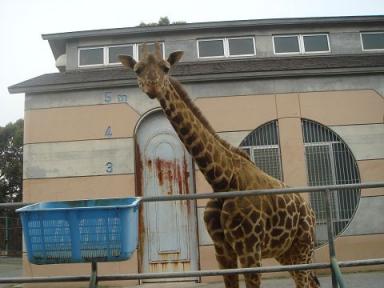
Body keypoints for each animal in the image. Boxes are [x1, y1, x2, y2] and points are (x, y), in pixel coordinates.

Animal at [119, 44, 318, 286]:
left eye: (166, 68)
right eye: (137, 70)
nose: (152, 87)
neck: (222, 179)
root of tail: (310, 211)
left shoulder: (250, 250)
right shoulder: (222, 250)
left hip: (302, 247)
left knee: (306, 281)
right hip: (286, 252)